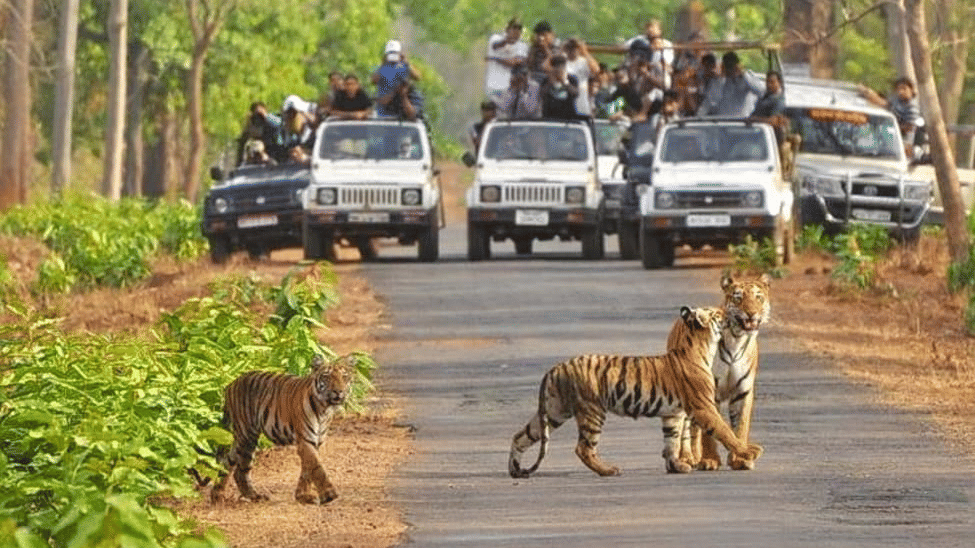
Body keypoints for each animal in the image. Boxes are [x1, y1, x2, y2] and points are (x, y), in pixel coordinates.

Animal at [210, 354, 353, 504]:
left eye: (344, 377)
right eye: (327, 376)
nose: (339, 391)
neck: (324, 409)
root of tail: (230, 384)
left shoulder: (316, 441)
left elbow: (307, 469)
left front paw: (303, 496)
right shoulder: (305, 440)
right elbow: (316, 467)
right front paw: (329, 494)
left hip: (246, 440)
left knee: (234, 466)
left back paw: (239, 495)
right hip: (246, 435)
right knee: (233, 465)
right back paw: (228, 496)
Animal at [508, 306, 763, 478]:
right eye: (717, 313)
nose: (729, 312)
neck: (701, 347)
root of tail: (556, 367)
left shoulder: (673, 413)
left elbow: (671, 441)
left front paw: (676, 466)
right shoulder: (704, 407)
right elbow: (725, 431)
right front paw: (749, 452)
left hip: (554, 411)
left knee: (521, 435)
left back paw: (514, 469)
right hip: (592, 411)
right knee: (583, 448)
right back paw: (609, 470)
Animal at [670, 273, 770, 471]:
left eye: (758, 297)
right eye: (738, 298)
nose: (751, 313)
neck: (737, 339)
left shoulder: (743, 391)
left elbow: (740, 426)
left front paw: (740, 459)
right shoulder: (710, 391)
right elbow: (710, 431)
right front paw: (710, 460)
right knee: (686, 426)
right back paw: (687, 458)